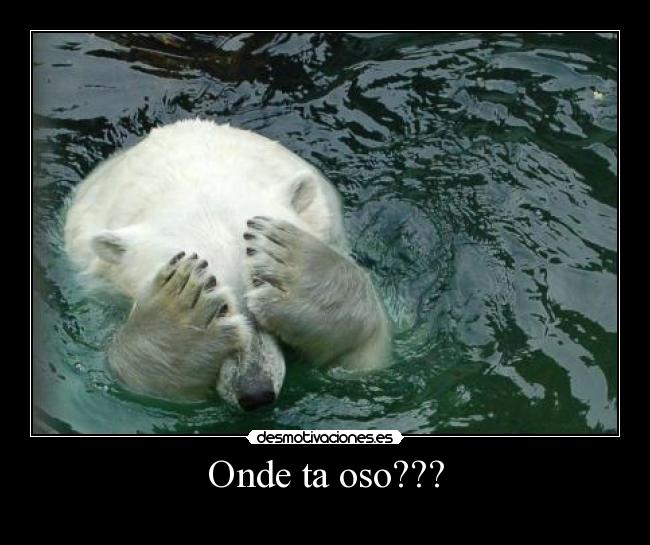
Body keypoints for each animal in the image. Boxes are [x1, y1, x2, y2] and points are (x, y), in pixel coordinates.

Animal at [64, 119, 391, 410]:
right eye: (219, 307)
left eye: (260, 286)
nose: (255, 393)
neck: (194, 172)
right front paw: (175, 317)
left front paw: (300, 269)